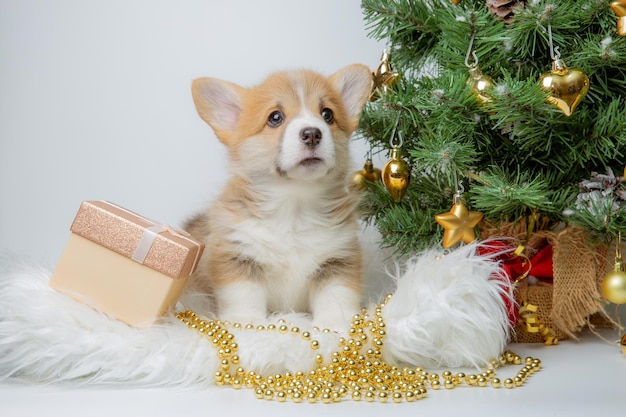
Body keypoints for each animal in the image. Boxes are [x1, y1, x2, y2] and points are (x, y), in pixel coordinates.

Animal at [183, 63, 372, 330]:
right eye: (275, 118)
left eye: (327, 115)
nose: (312, 133)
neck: (294, 207)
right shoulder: (238, 257)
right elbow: (244, 296)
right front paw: (247, 323)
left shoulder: (338, 259)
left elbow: (336, 296)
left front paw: (335, 325)